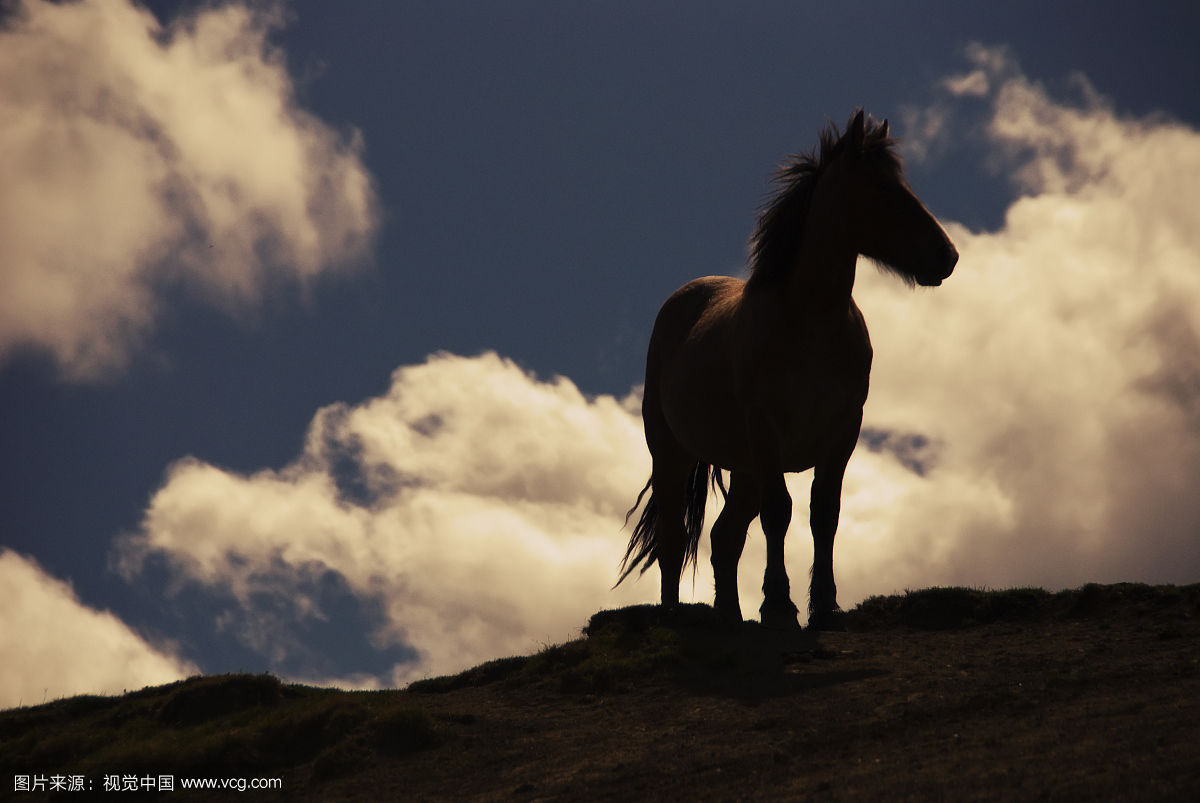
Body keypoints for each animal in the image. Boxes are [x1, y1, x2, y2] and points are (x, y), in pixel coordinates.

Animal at [619, 109, 955, 628]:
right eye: (882, 189)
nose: (946, 256)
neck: (809, 322)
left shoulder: (843, 431)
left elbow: (824, 514)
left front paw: (825, 606)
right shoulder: (767, 430)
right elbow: (779, 513)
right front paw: (779, 605)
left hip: (743, 467)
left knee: (724, 538)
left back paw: (730, 618)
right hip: (672, 453)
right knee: (675, 541)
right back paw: (677, 615)